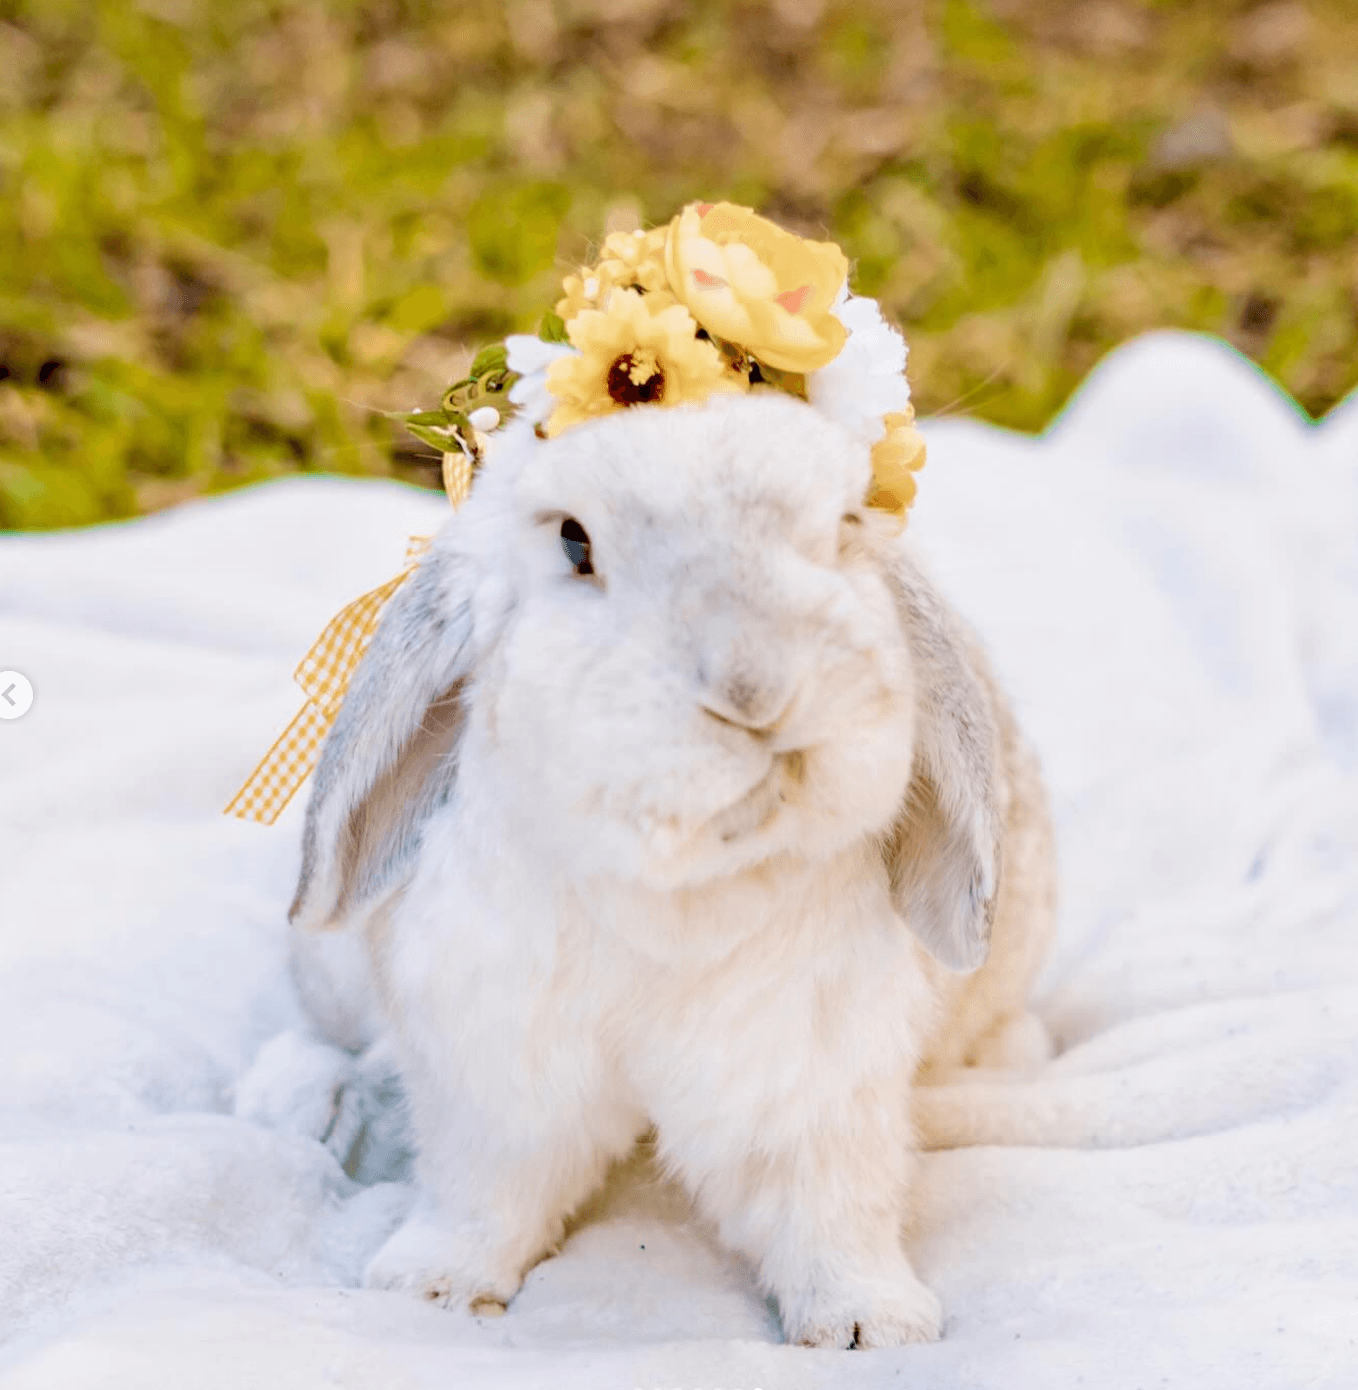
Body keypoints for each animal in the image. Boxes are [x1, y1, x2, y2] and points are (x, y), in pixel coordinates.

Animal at [287, 388, 1057, 1349]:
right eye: (575, 542)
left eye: (845, 526)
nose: (756, 690)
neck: (676, 885)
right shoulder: (496, 1082)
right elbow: (482, 1197)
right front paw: (432, 1287)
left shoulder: (813, 1095)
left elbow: (834, 1216)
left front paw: (866, 1327)